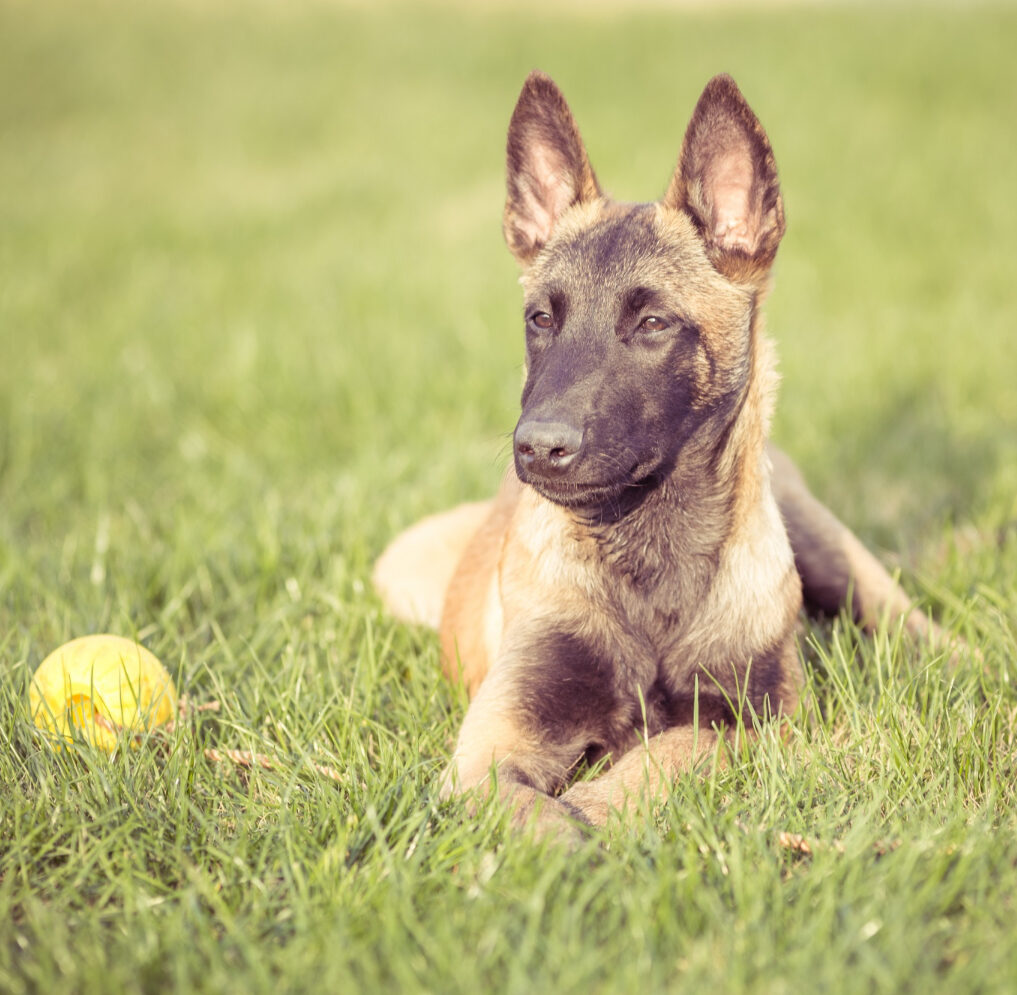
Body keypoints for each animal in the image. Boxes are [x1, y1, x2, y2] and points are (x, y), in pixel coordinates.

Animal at [376, 69, 943, 834]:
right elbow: (532, 807)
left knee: (912, 626)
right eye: (540, 319)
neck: (651, 561)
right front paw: (573, 833)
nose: (537, 448)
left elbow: (676, 746)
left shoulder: (761, 718)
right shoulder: (489, 746)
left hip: (837, 556)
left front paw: (603, 803)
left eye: (652, 323)